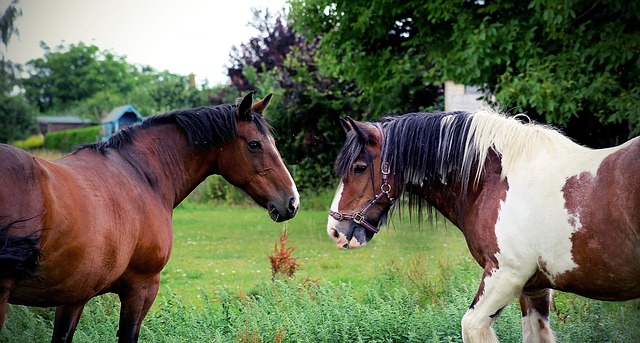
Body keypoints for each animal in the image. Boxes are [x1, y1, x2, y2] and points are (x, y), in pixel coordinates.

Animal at [330, 111, 640, 342]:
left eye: (359, 167)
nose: (334, 231)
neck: (495, 181)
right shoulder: (534, 288)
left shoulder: (505, 276)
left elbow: (471, 325)